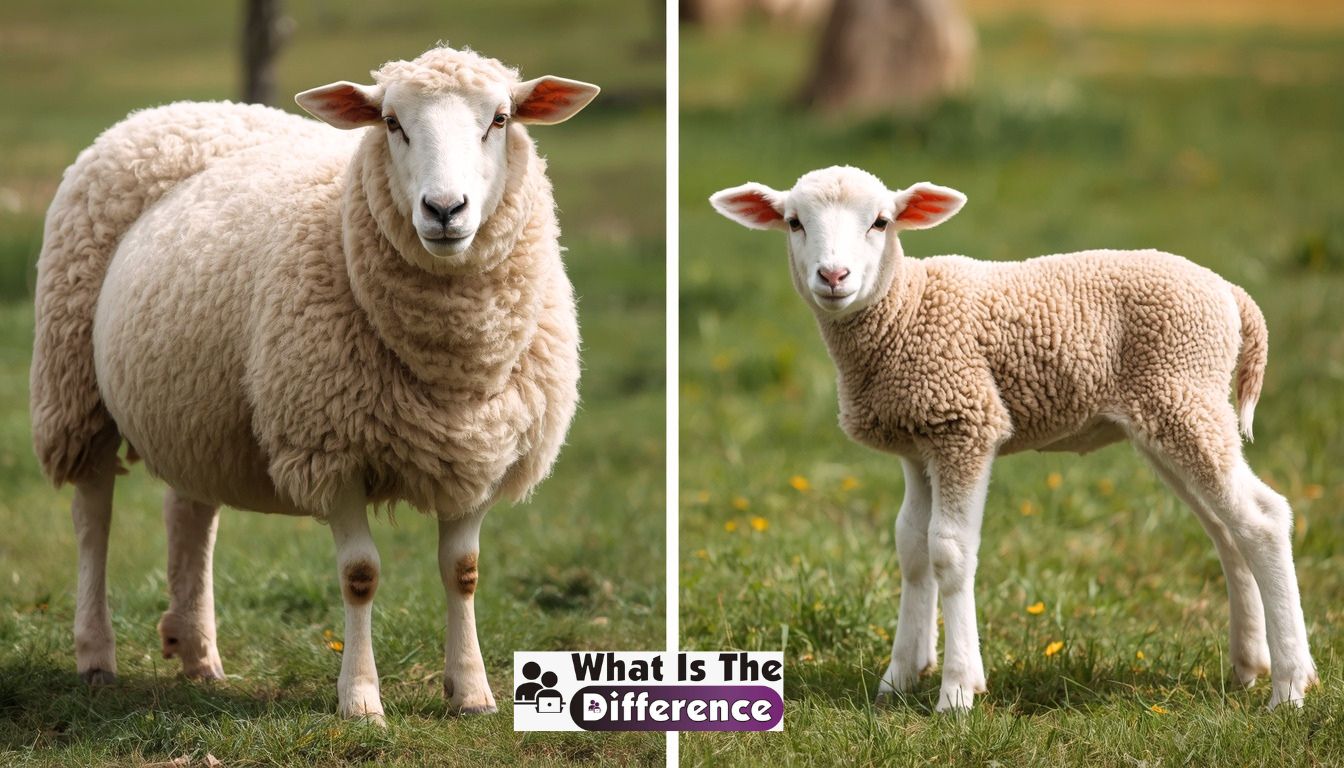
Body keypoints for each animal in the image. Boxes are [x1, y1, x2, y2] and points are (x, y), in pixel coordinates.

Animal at [31, 45, 599, 723]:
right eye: (391, 122)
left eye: (501, 119)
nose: (444, 211)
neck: (452, 367)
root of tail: (179, 109)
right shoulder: (330, 447)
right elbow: (360, 575)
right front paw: (360, 700)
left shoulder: (481, 451)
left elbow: (463, 570)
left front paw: (473, 692)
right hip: (73, 385)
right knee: (93, 514)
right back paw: (96, 656)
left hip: (195, 406)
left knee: (189, 513)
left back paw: (199, 655)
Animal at [710, 165, 1317, 712]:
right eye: (794, 223)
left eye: (881, 222)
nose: (833, 276)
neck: (905, 307)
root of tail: (1231, 294)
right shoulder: (917, 440)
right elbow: (911, 547)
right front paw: (900, 677)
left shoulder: (966, 422)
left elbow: (949, 551)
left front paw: (957, 690)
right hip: (1172, 414)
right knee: (1226, 529)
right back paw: (1249, 666)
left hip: (1183, 392)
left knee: (1264, 518)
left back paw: (1290, 686)